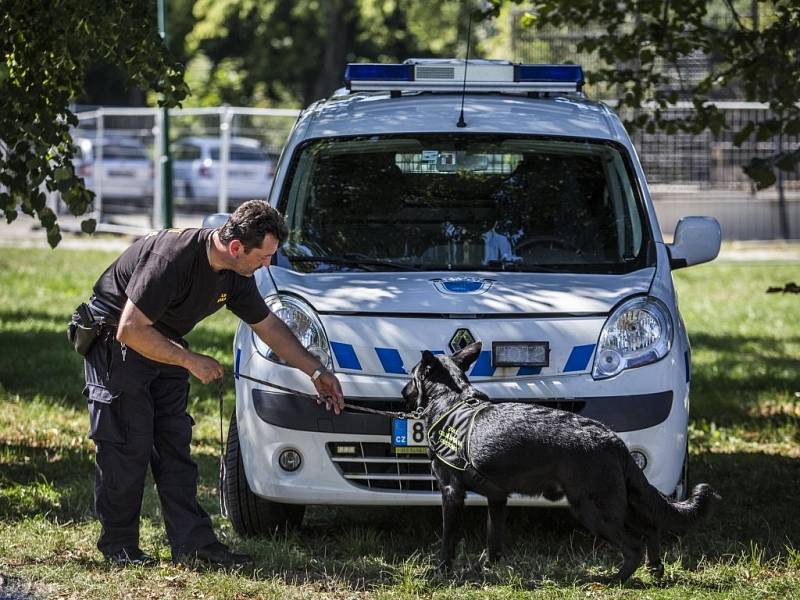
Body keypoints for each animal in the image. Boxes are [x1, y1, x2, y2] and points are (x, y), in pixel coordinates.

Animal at [404, 342, 720, 580]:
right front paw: (491, 567)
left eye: (411, 375)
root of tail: (611, 439)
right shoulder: (497, 498)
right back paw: (654, 570)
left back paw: (614, 580)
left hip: (593, 509)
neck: (453, 402)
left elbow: (448, 540)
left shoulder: (451, 493)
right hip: (619, 501)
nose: (403, 393)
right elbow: (494, 538)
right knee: (651, 529)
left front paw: (441, 571)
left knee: (633, 545)